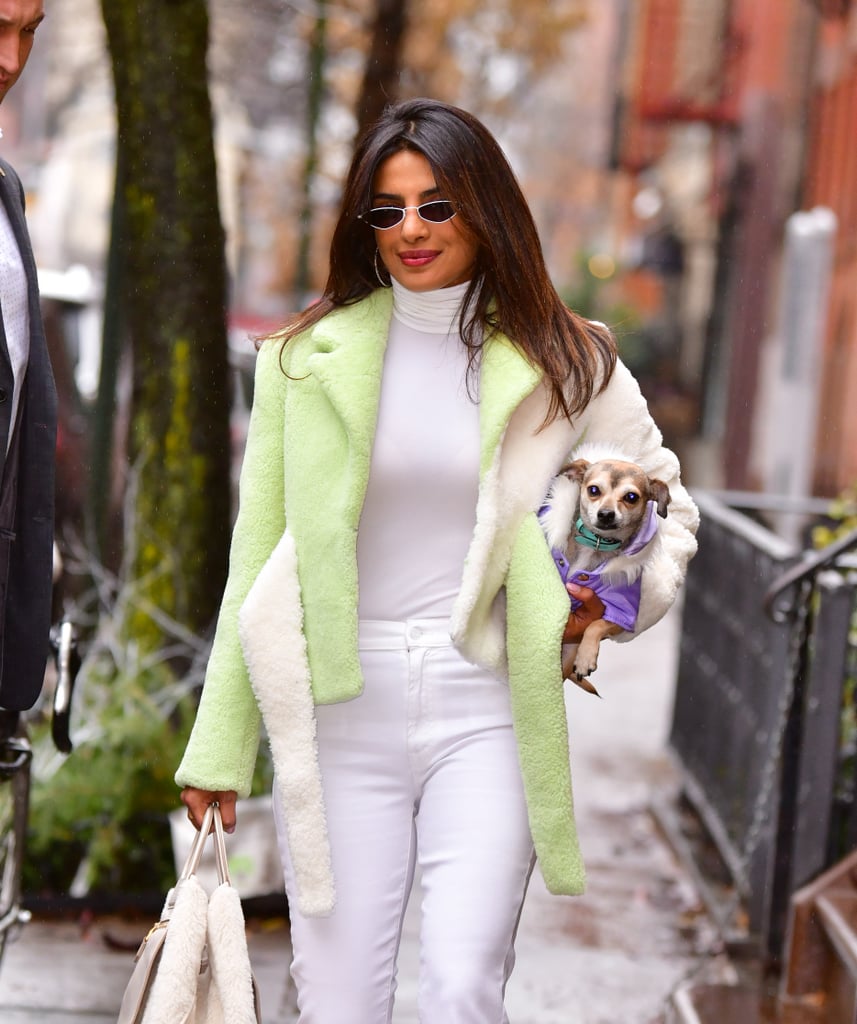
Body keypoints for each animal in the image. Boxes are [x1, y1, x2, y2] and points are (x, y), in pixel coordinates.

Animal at [540, 448, 667, 696]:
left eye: (631, 497)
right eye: (593, 490)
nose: (606, 514)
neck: (596, 543)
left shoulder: (620, 614)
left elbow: (596, 625)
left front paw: (586, 658)